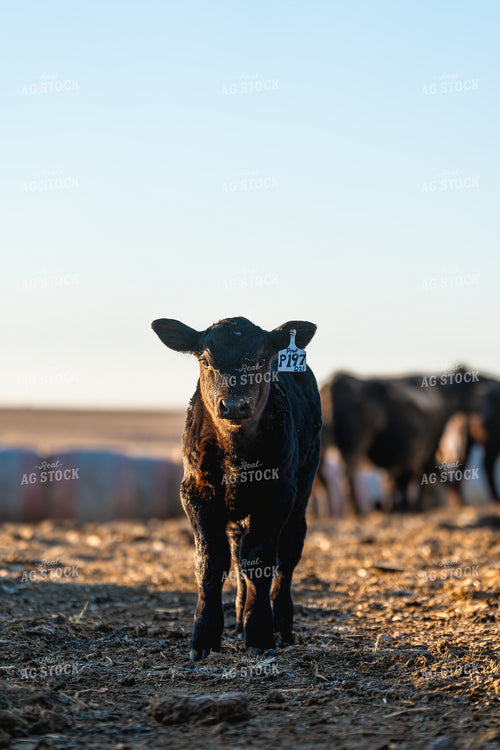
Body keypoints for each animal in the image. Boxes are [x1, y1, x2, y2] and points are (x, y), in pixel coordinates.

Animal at [151, 316, 322, 660]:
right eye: (205, 361)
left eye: (261, 359)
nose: (233, 405)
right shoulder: (195, 494)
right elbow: (211, 562)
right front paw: (204, 636)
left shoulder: (277, 495)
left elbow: (259, 562)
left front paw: (260, 634)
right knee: (237, 548)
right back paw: (241, 620)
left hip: (302, 490)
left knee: (288, 552)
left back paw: (282, 625)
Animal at [316, 367, 482, 514]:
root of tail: (335, 382)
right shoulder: (425, 451)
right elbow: (417, 477)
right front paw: (413, 507)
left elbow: (396, 482)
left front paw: (398, 507)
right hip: (354, 443)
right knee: (347, 472)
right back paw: (358, 511)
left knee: (323, 477)